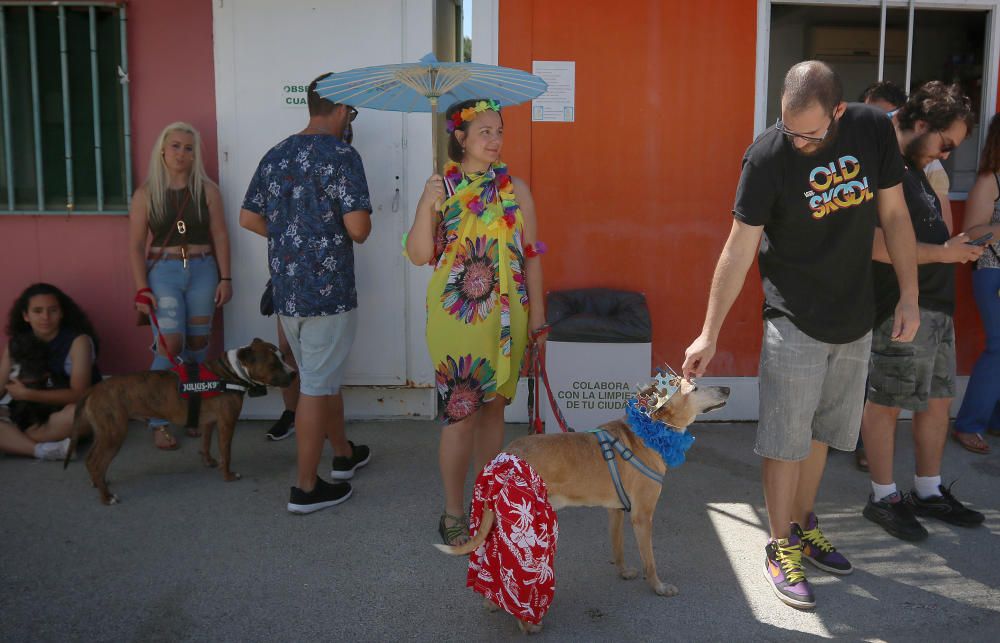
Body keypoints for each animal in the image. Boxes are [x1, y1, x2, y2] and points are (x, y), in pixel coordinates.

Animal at [64, 340, 292, 506]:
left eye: (283, 357)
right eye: (273, 364)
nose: (294, 373)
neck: (231, 373)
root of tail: (93, 390)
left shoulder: (209, 422)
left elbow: (205, 444)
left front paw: (208, 461)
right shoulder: (227, 422)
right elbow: (226, 453)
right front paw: (227, 475)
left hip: (105, 432)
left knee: (91, 459)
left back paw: (98, 481)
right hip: (114, 433)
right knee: (96, 461)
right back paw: (106, 497)